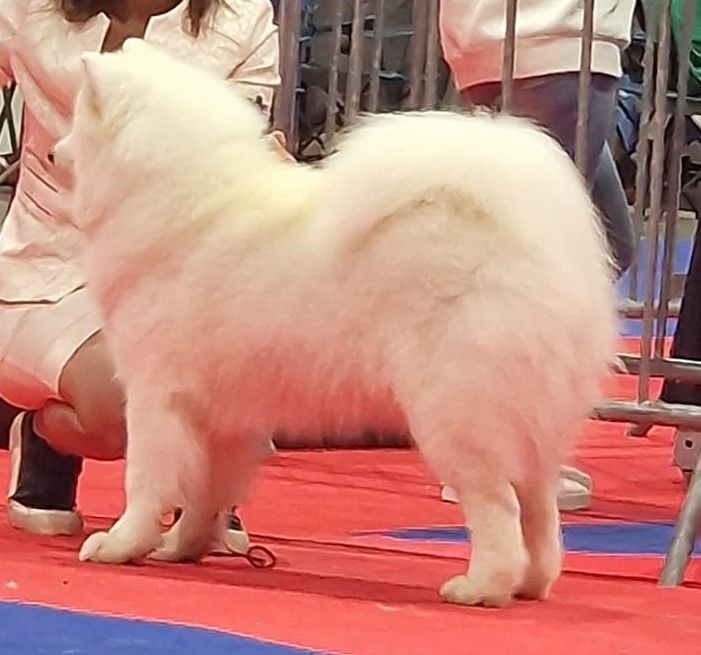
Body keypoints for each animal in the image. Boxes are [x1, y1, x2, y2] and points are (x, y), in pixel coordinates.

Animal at [54, 39, 617, 607]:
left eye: (77, 121)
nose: (54, 153)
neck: (178, 194)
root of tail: (526, 234)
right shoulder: (225, 416)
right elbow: (207, 494)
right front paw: (183, 547)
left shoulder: (156, 395)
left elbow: (146, 481)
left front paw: (120, 544)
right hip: (529, 423)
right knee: (538, 508)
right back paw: (530, 582)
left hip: (457, 414)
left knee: (499, 507)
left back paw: (479, 587)